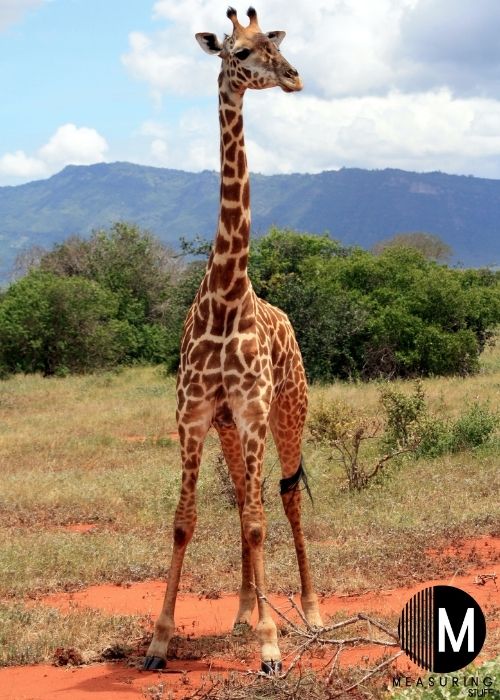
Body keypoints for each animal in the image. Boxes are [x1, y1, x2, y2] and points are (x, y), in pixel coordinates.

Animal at [144, 6, 323, 675]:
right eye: (239, 52)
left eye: (272, 42)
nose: (295, 76)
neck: (225, 296)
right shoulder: (195, 416)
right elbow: (185, 520)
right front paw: (160, 640)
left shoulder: (251, 413)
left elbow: (254, 521)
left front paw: (271, 645)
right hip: (229, 431)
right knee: (253, 498)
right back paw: (245, 610)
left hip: (288, 413)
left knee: (284, 499)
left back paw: (309, 611)